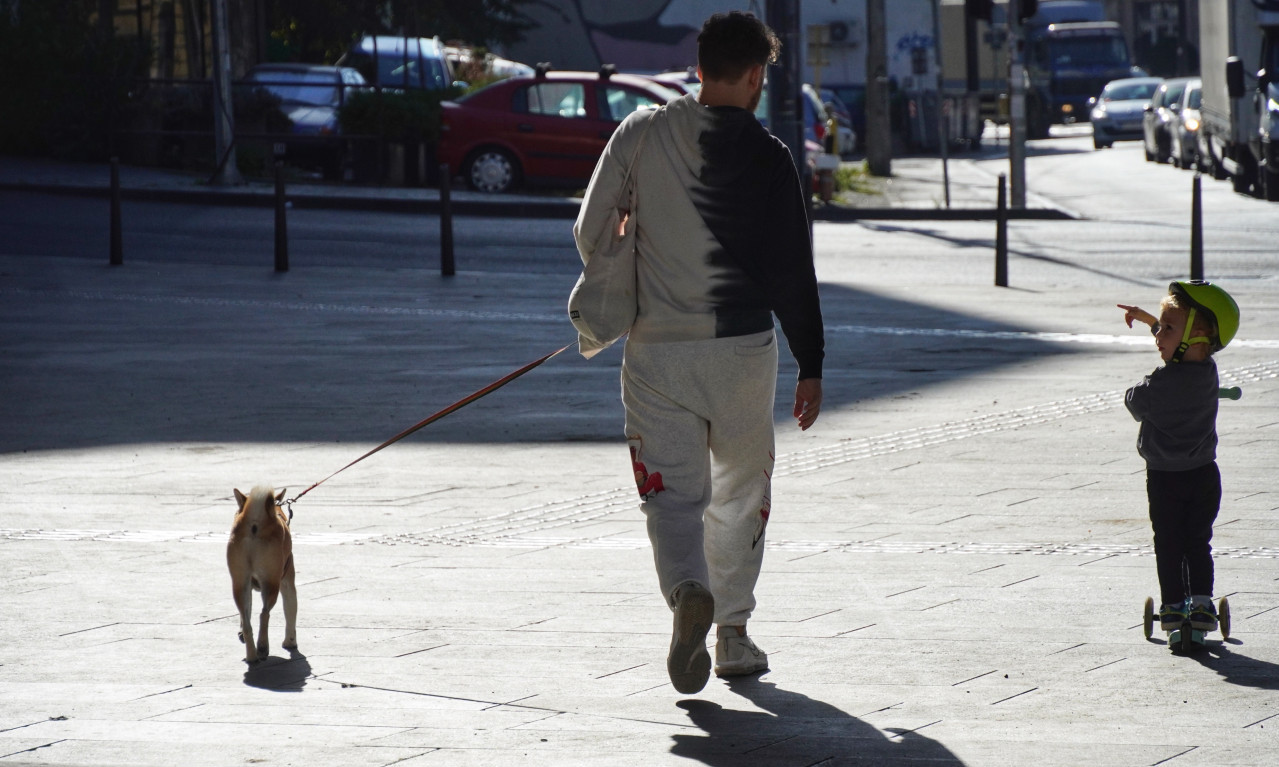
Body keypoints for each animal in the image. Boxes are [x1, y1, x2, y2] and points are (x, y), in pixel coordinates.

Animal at [226, 488, 295, 659]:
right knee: (264, 614)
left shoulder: (247, 586)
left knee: (247, 622)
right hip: (271, 583)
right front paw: (290, 642)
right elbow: (291, 611)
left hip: (239, 583)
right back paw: (263, 647)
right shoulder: (287, 582)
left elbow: (247, 612)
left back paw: (252, 656)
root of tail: (255, 522)